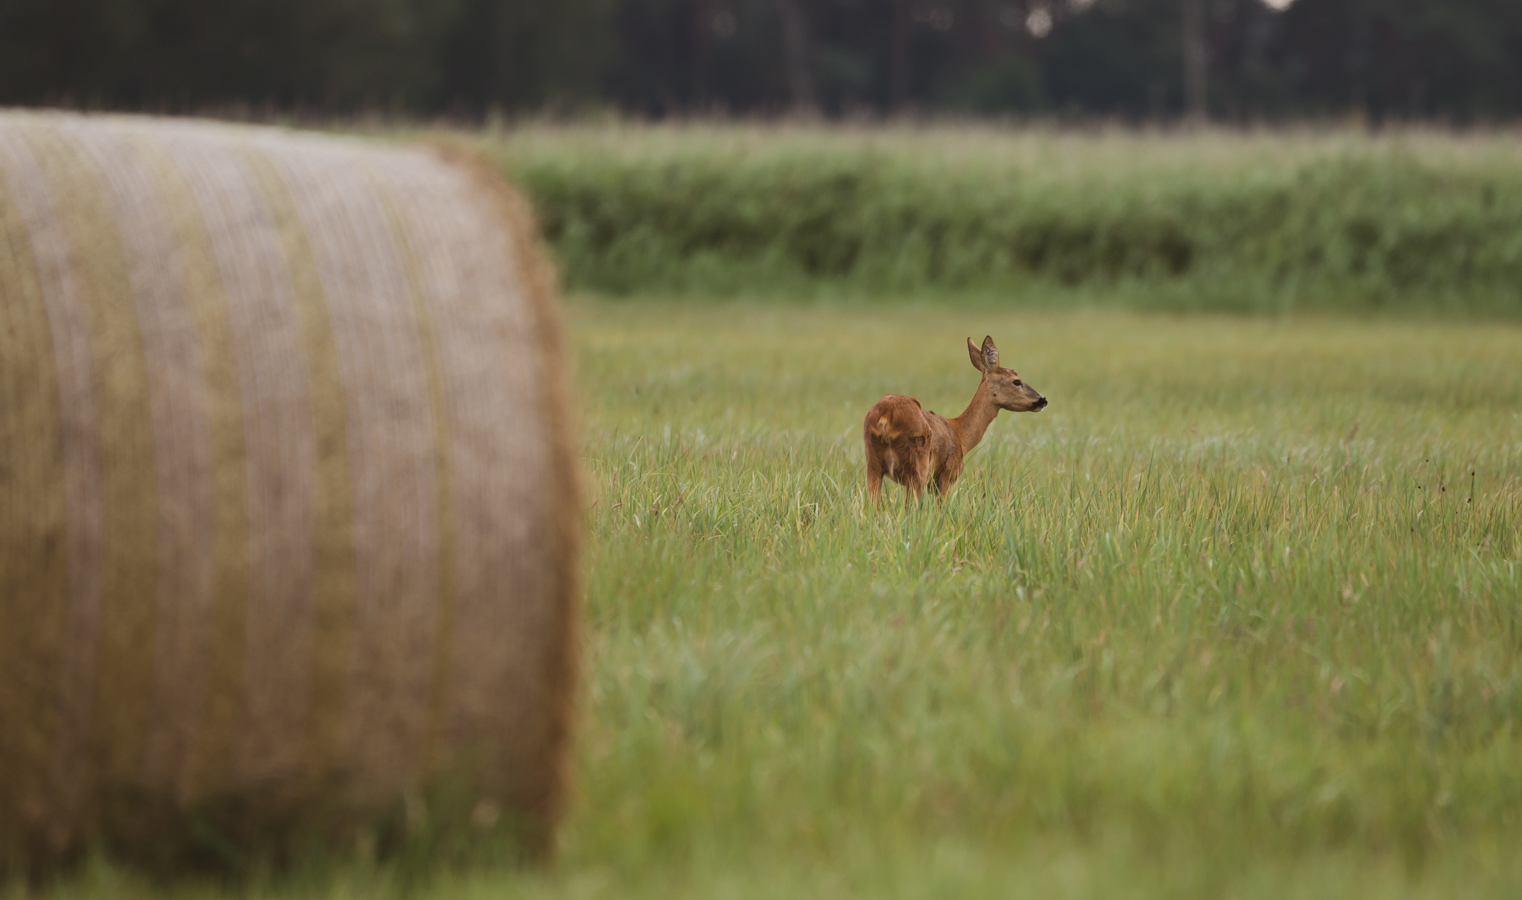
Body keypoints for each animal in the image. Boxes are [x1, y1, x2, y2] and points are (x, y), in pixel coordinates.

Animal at [870, 336, 1047, 511]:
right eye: (1016, 381)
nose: (1042, 399)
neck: (961, 435)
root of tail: (885, 417)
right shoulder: (947, 474)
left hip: (873, 462)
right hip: (917, 466)